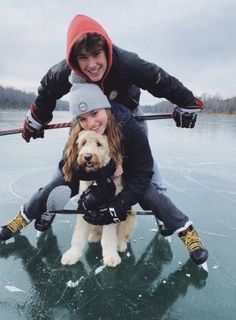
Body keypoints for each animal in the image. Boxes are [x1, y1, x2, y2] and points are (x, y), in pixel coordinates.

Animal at [60, 130, 136, 268]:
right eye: (83, 143)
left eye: (99, 144)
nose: (87, 156)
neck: (95, 180)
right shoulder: (83, 209)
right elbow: (78, 236)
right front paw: (72, 254)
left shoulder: (109, 213)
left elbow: (109, 238)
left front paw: (111, 256)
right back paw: (94, 237)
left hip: (130, 215)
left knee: (122, 235)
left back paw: (120, 244)